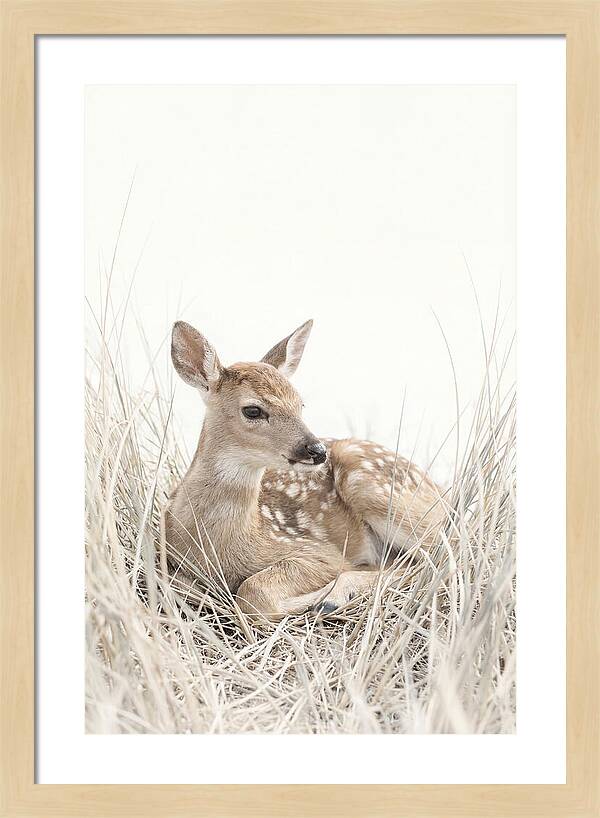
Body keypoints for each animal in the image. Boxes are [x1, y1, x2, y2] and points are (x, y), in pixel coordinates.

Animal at [164, 319, 447, 621]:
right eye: (253, 410)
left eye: (300, 404)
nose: (317, 450)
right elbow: (179, 586)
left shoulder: (317, 551)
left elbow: (254, 593)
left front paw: (314, 599)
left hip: (373, 487)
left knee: (440, 555)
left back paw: (333, 598)